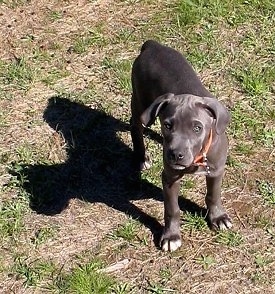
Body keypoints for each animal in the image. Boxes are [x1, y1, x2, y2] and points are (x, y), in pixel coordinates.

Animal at [131, 40, 233, 252]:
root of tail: (152, 45)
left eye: (197, 128)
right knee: (135, 125)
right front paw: (171, 236)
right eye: (168, 125)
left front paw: (218, 217)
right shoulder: (169, 177)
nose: (176, 155)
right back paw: (142, 157)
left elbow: (214, 195)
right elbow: (172, 209)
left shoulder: (217, 170)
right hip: (140, 100)